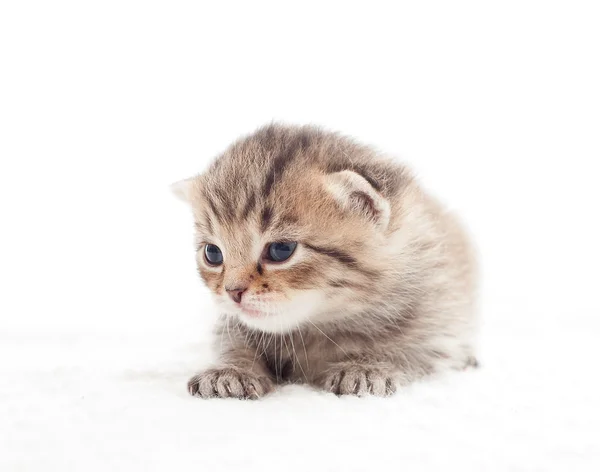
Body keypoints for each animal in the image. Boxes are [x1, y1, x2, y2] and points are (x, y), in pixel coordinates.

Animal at [173, 123, 478, 396]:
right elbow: (233, 343)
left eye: (281, 250)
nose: (233, 291)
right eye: (213, 254)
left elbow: (407, 352)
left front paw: (366, 368)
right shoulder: (232, 324)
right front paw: (232, 369)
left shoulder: (437, 328)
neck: (320, 326)